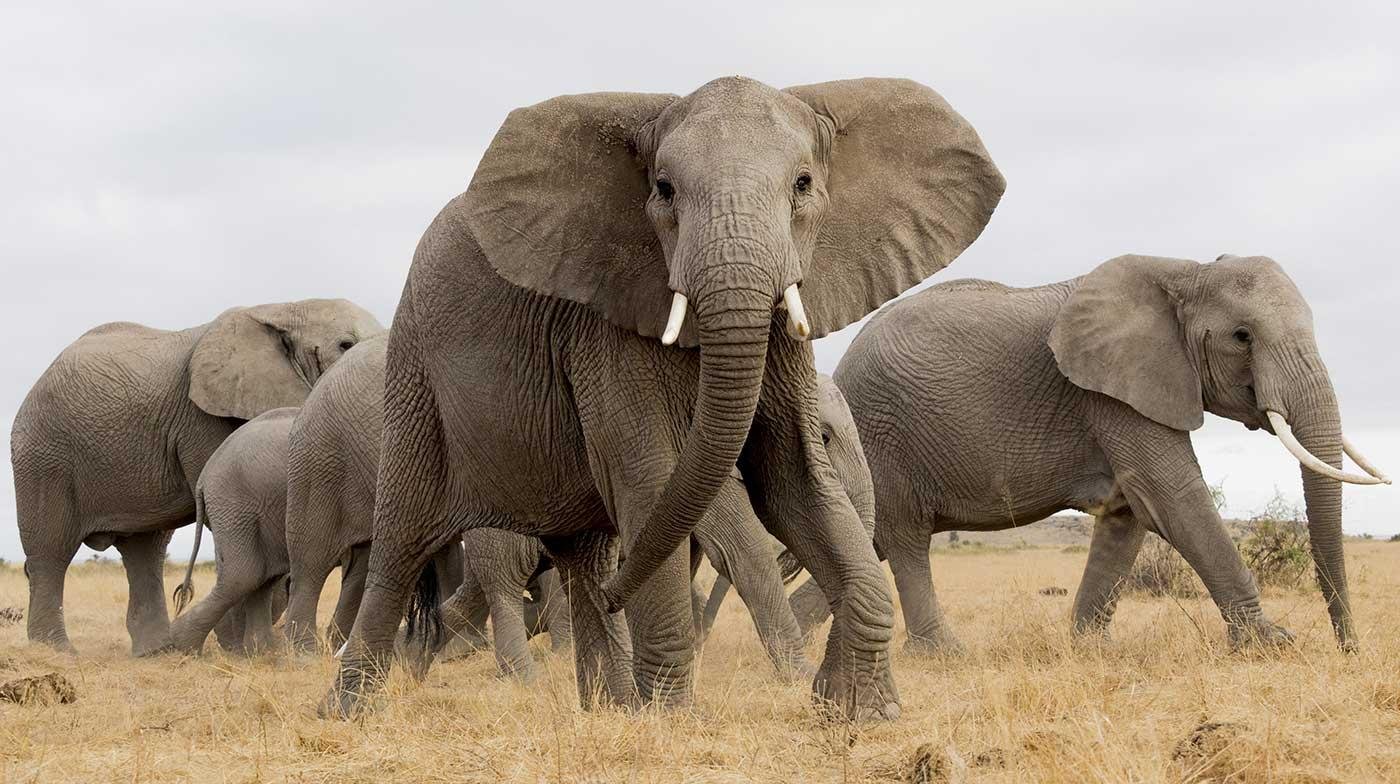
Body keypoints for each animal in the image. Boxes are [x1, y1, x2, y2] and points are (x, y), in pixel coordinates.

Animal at [11, 298, 384, 655]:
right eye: (345, 344)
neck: (285, 307)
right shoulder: (202, 419)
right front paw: (236, 644)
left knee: (145, 549)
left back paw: (156, 651)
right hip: (43, 455)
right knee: (50, 549)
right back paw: (59, 650)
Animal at [322, 75, 1003, 721]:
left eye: (804, 184)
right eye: (665, 190)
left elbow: (795, 480)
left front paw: (859, 710)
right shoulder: (606, 329)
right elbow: (654, 481)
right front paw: (670, 718)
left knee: (586, 556)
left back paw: (607, 703)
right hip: (416, 376)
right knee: (401, 545)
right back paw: (347, 712)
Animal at [816, 254, 1388, 654]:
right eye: (1242, 336)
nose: (1349, 651)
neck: (1185, 272)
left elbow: (1127, 511)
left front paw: (1093, 649)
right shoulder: (1112, 393)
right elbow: (1172, 496)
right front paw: (1272, 645)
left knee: (876, 542)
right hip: (881, 435)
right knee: (907, 541)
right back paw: (943, 655)